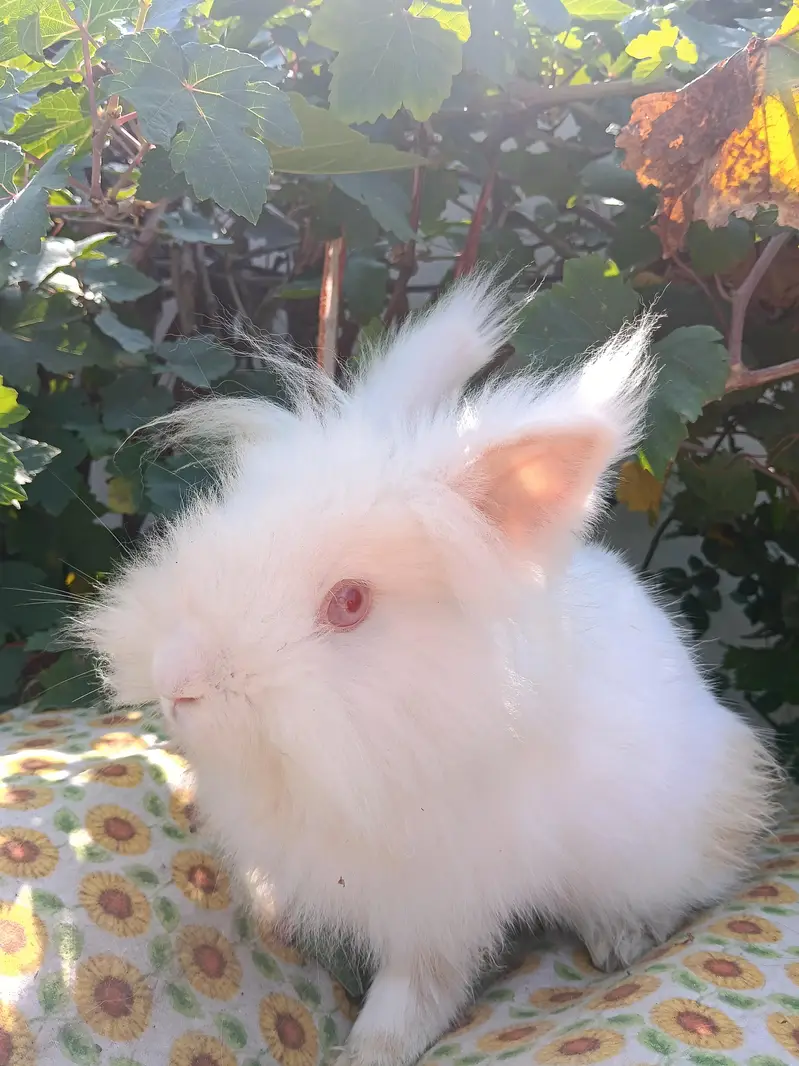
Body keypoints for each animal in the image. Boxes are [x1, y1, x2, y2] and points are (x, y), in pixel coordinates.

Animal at [75, 273, 779, 1066]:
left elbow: (418, 986)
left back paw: (621, 938)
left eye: (350, 603)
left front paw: (369, 1049)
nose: (176, 679)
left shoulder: (442, 901)